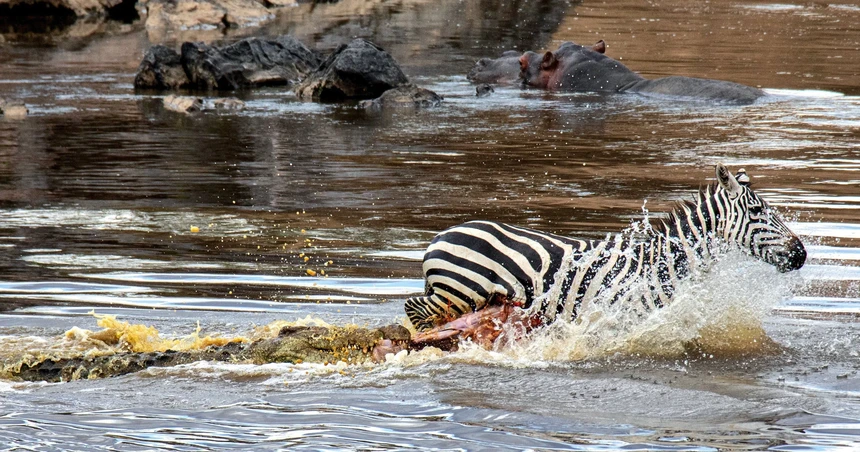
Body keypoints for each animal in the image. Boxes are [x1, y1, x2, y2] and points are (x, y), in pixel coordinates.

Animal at [404, 165, 808, 332]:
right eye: (757, 213)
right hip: (458, 291)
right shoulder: (628, 317)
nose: (801, 254)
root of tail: (440, 237)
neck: (662, 264)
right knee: (415, 310)